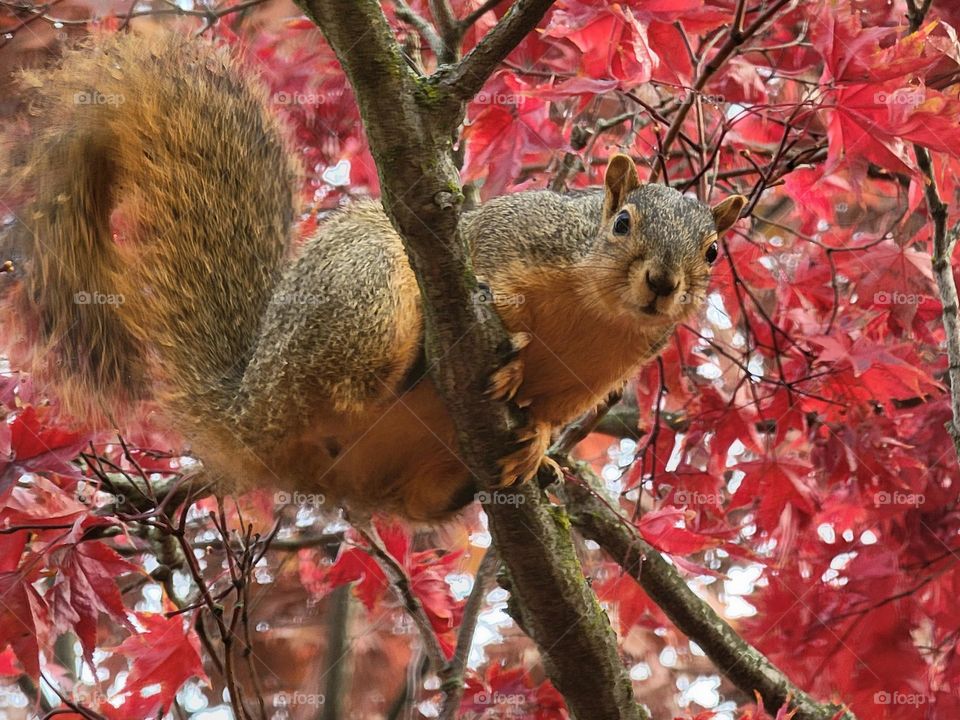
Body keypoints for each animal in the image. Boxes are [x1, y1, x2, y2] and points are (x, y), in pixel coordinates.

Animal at [2, 32, 746, 521]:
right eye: (621, 223)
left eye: (712, 252)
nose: (663, 283)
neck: (597, 311)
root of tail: (248, 414)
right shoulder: (506, 235)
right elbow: (487, 264)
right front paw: (507, 332)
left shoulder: (593, 380)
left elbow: (548, 415)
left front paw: (537, 445)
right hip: (366, 290)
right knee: (358, 377)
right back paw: (419, 365)